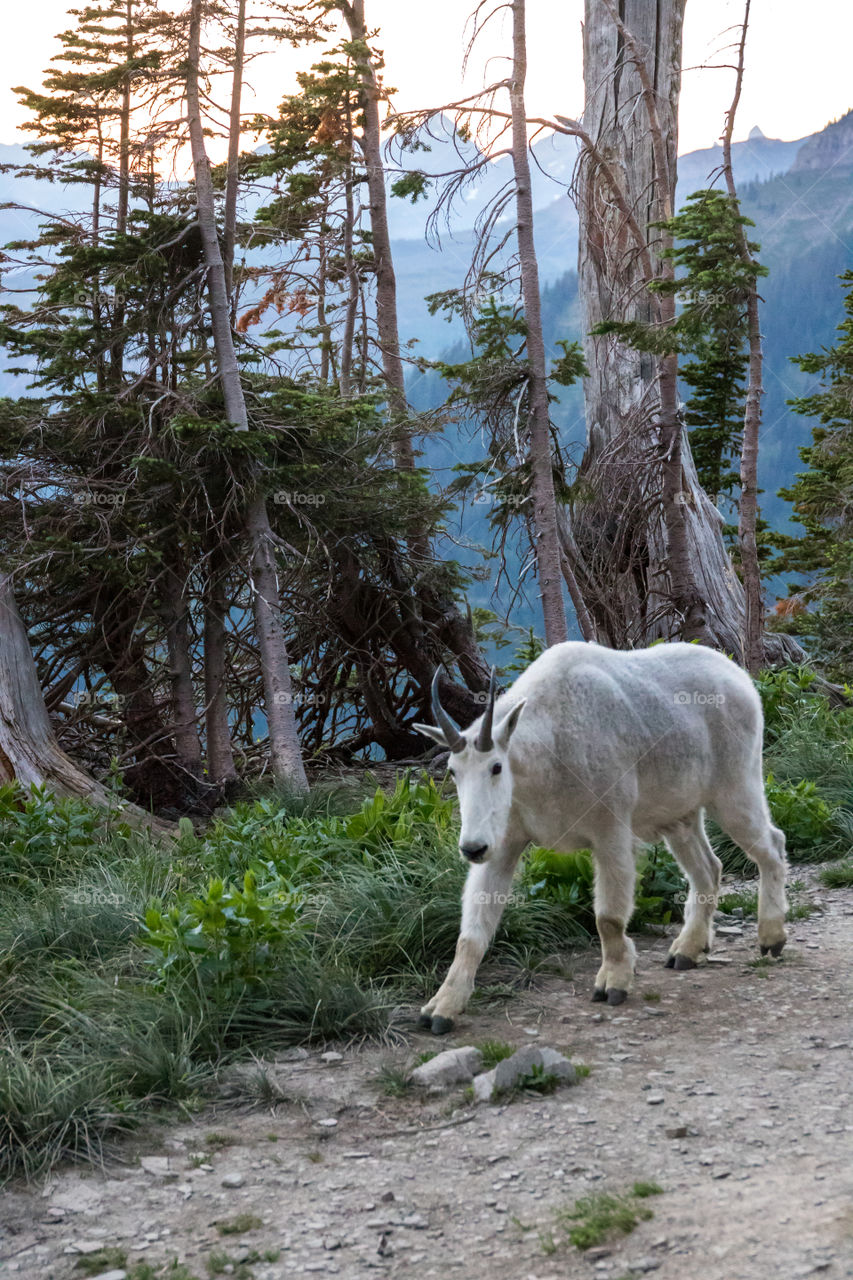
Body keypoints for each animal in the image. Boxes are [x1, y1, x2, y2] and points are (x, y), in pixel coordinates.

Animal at [412, 645, 783, 1034]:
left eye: (496, 767)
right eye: (453, 771)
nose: (472, 848)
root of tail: (740, 677)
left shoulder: (610, 831)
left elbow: (608, 917)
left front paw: (613, 982)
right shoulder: (504, 843)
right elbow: (472, 933)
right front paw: (441, 1007)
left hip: (735, 787)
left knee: (771, 844)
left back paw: (771, 937)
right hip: (677, 815)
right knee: (708, 868)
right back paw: (687, 949)